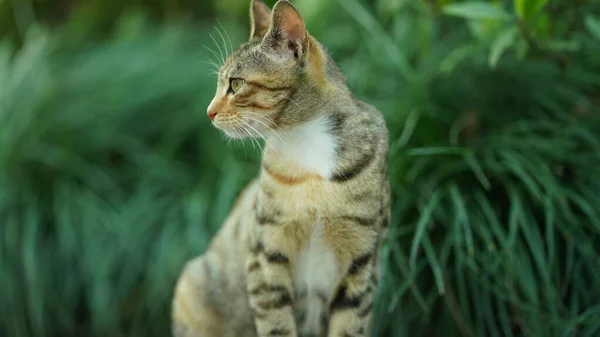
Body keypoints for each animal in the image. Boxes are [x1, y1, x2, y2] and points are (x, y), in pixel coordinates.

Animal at [171, 1, 392, 334]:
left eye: (236, 83)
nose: (208, 112)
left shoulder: (363, 264)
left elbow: (350, 325)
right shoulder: (265, 258)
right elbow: (276, 324)